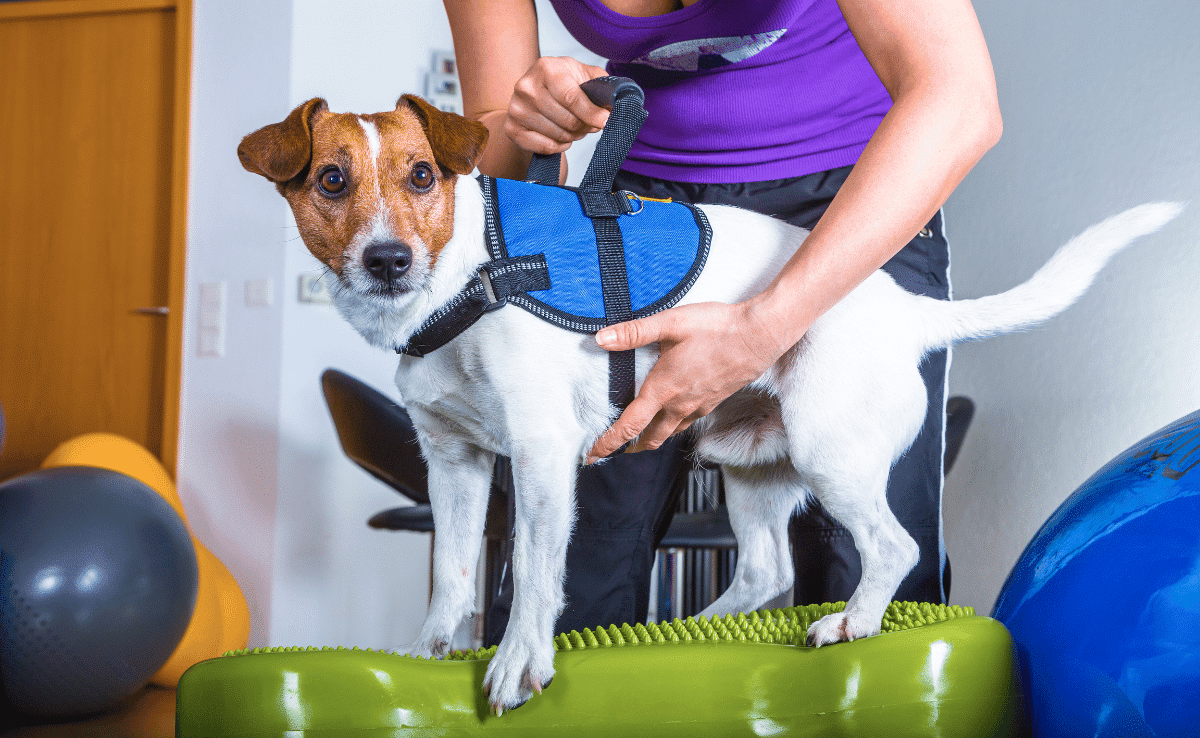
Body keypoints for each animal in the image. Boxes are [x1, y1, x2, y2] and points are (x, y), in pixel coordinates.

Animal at [238, 95, 1185, 715]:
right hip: (753, 468)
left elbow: (536, 575)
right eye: (331, 180)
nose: (388, 261)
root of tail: (904, 309)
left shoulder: (540, 456)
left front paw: (518, 663)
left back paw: (853, 621)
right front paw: (433, 650)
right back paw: (705, 626)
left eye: (422, 176)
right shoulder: (456, 463)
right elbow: (457, 574)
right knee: (766, 570)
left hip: (830, 453)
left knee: (894, 545)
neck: (467, 275)